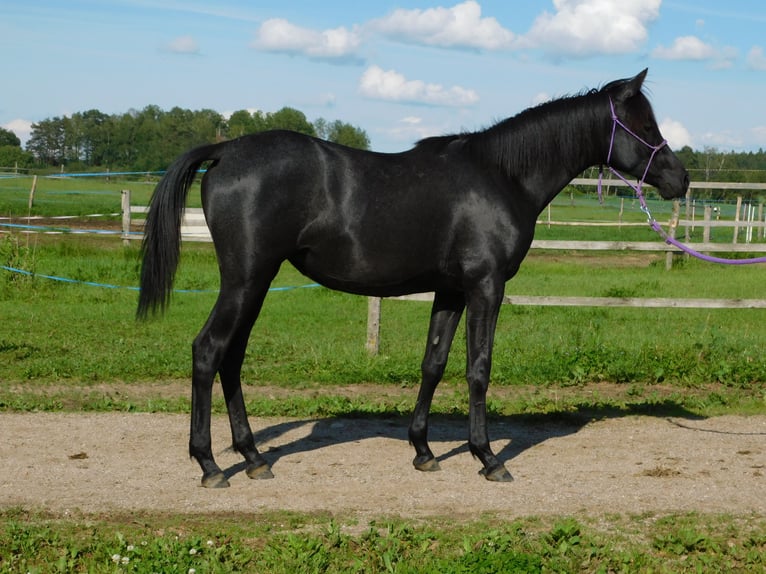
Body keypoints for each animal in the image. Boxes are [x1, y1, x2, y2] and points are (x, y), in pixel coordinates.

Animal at [138, 70, 688, 488]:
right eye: (644, 122)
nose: (679, 178)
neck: (502, 176)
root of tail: (226, 150)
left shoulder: (450, 291)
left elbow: (434, 363)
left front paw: (423, 449)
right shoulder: (486, 286)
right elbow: (478, 368)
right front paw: (487, 457)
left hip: (256, 282)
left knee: (231, 358)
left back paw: (252, 458)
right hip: (246, 280)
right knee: (208, 351)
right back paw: (210, 465)